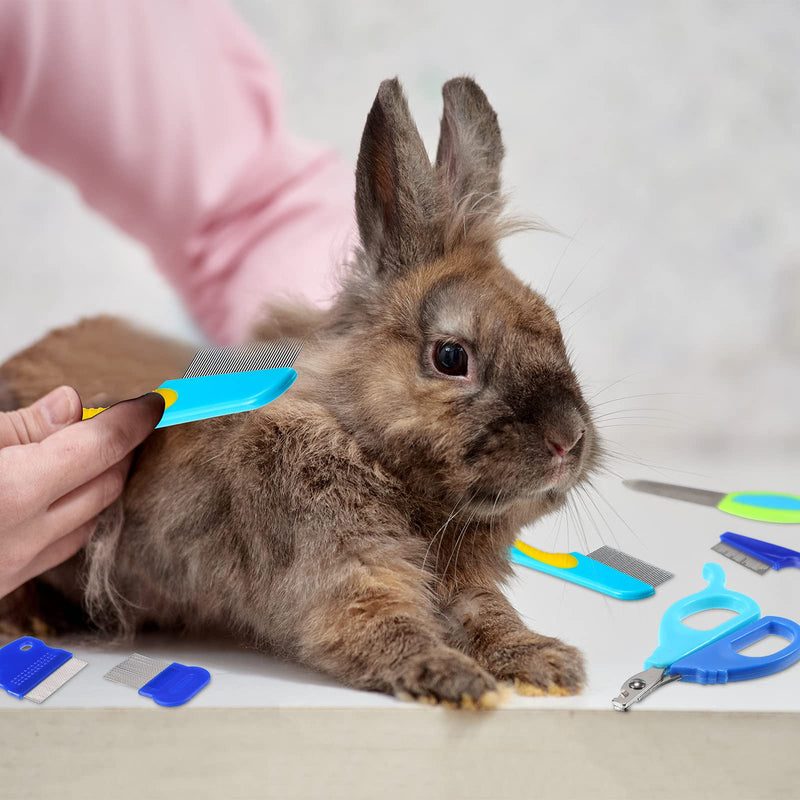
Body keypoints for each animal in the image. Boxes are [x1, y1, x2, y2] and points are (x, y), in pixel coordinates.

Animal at [0, 78, 596, 708]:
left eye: (553, 327)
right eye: (451, 357)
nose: (568, 440)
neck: (363, 442)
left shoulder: (461, 585)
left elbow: (489, 616)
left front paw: (545, 663)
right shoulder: (344, 580)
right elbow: (390, 630)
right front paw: (454, 679)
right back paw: (30, 622)